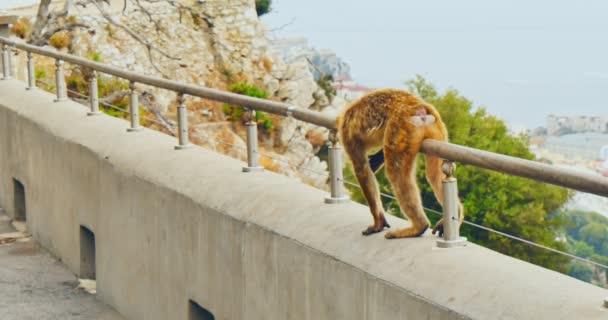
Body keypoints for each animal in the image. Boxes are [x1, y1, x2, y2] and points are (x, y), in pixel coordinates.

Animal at [338, 88, 466, 238]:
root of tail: (420, 108)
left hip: (401, 128)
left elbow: (362, 169)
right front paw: (376, 160)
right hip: (438, 129)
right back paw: (455, 214)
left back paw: (419, 226)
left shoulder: (348, 135)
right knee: (434, 174)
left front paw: (378, 222)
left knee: (396, 174)